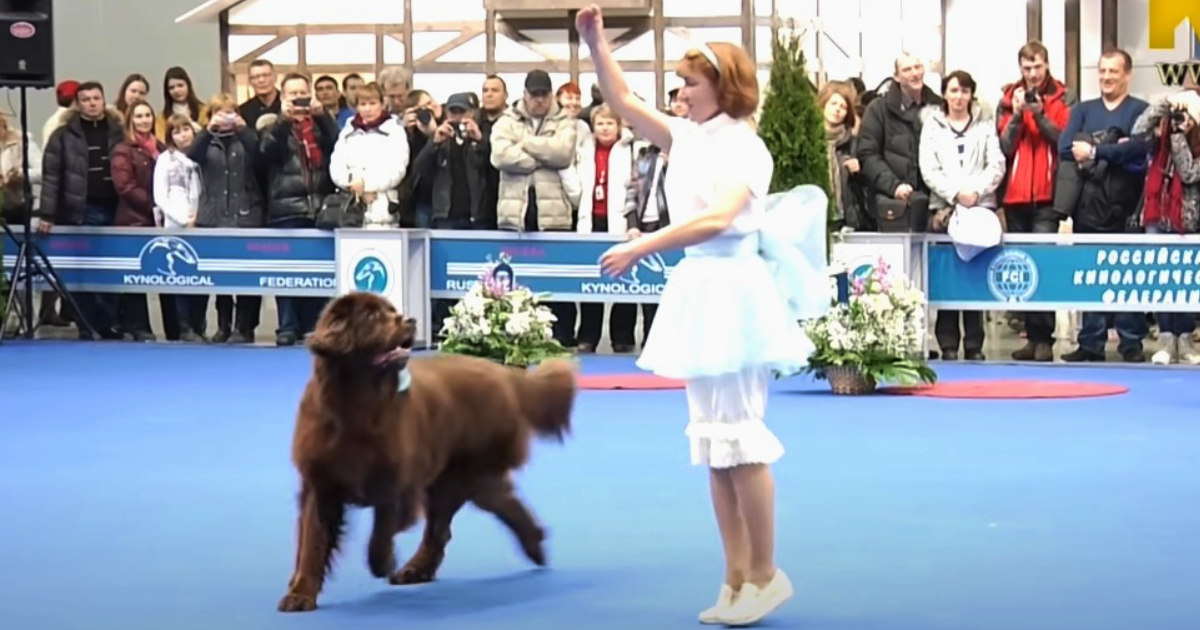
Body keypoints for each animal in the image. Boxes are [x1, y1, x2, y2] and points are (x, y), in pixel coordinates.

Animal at [280, 292, 580, 612]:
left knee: (456, 520)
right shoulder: (320, 483)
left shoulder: (397, 479)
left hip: (469, 473)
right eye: (372, 317)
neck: (355, 407)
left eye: (392, 310)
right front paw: (299, 594)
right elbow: (312, 543)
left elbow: (383, 527)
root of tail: (503, 374)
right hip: (461, 478)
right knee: (464, 519)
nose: (410, 320)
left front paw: (381, 561)